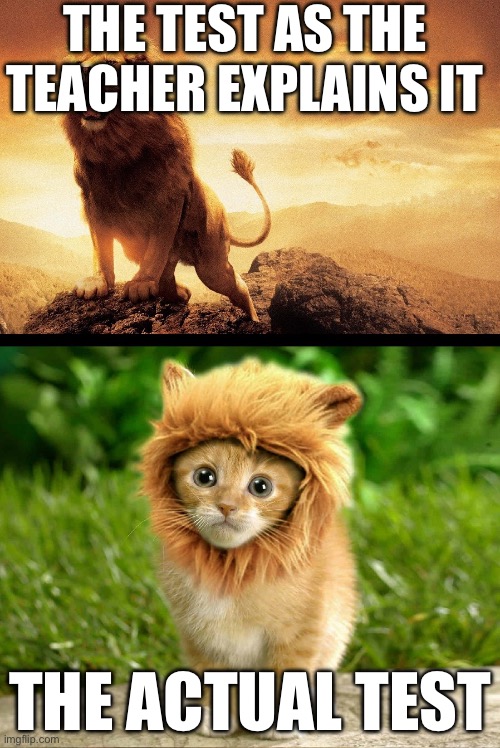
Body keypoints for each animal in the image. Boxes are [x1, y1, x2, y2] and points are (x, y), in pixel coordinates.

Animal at [62, 50, 270, 321]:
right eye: (77, 63)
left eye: (110, 63)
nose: (84, 72)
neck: (116, 146)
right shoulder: (93, 199)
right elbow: (101, 247)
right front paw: (97, 281)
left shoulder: (169, 199)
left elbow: (156, 250)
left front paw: (141, 283)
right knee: (169, 278)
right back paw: (182, 293)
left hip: (211, 262)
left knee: (236, 284)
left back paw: (254, 319)